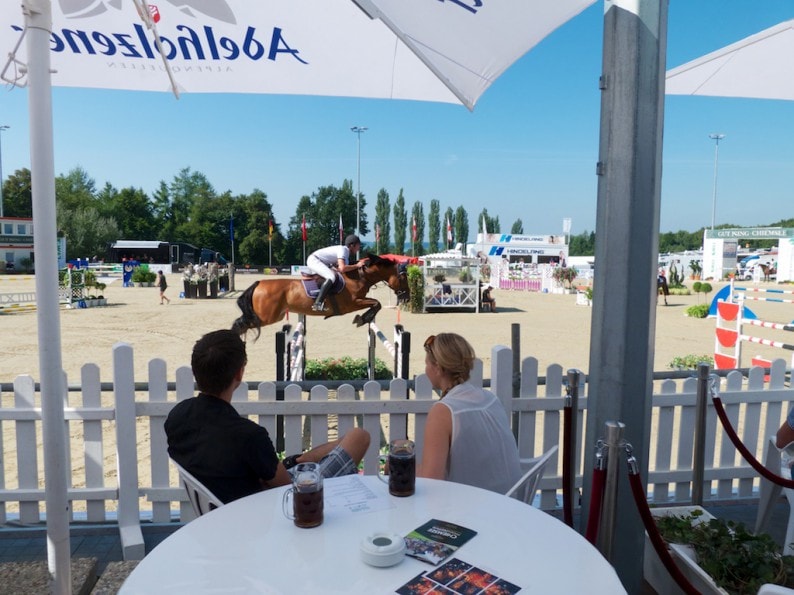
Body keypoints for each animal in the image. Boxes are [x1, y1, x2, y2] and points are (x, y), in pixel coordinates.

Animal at [232, 255, 408, 340]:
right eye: (403, 277)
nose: (407, 297)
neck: (358, 277)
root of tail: (259, 283)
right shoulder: (352, 303)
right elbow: (376, 303)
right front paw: (362, 319)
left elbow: (375, 304)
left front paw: (362, 318)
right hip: (267, 316)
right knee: (240, 324)